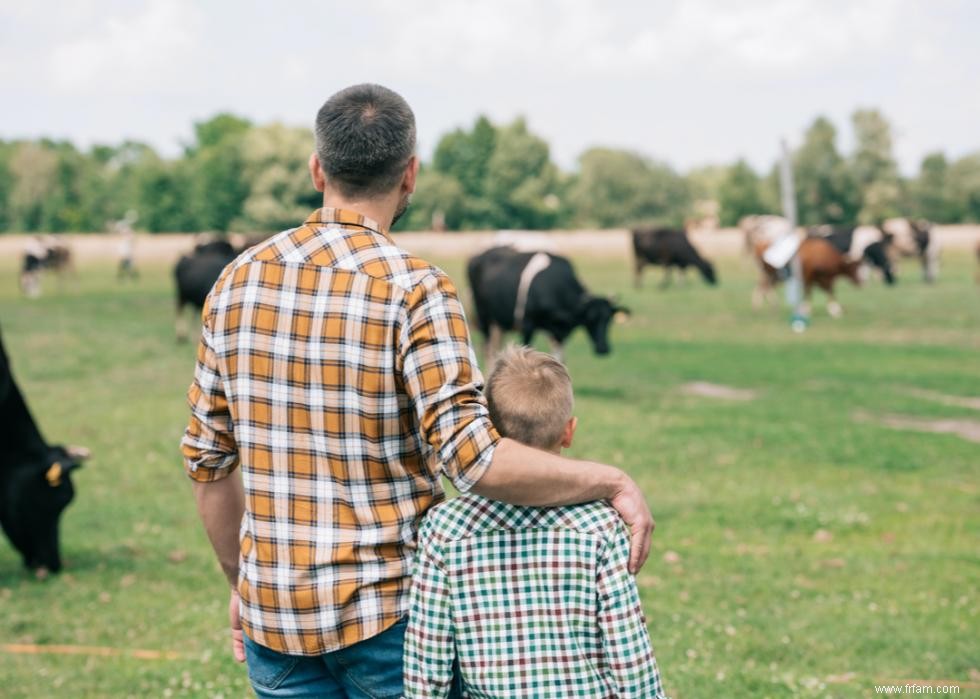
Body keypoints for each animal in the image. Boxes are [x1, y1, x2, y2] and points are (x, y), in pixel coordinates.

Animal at [468, 246, 628, 364]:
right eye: (590, 319)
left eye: (609, 319)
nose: (603, 348)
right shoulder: (528, 324)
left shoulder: (560, 333)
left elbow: (559, 360)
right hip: (483, 317)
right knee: (488, 350)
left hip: (498, 323)